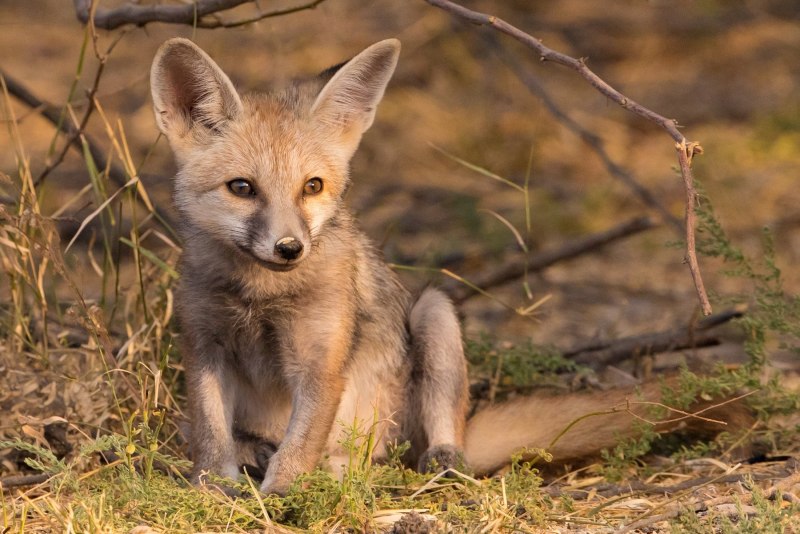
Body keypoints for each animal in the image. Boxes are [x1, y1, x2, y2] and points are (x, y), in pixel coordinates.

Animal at [150, 38, 750, 495]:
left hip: (434, 316)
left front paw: (280, 499)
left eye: (312, 187)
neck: (259, 298)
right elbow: (211, 437)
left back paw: (421, 463)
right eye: (242, 188)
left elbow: (299, 449)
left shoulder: (319, 363)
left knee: (410, 446)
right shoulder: (204, 347)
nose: (290, 248)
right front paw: (213, 491)